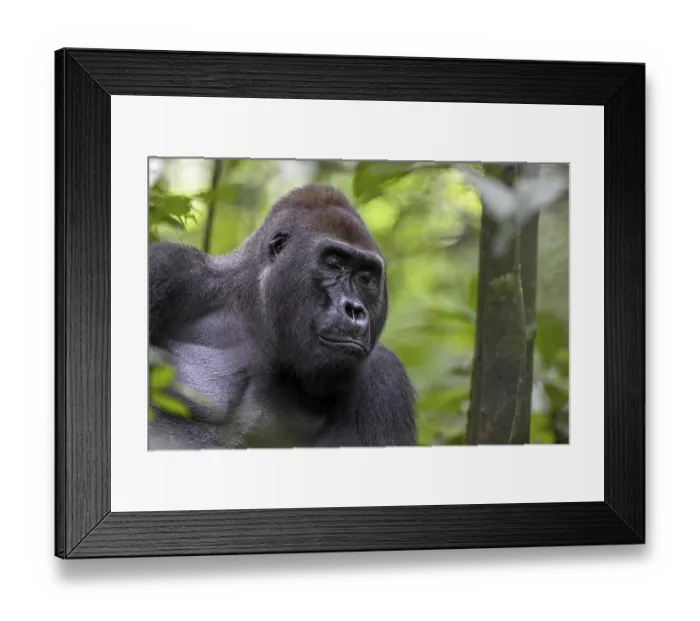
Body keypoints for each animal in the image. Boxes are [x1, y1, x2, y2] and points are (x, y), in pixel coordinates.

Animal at [148, 184, 417, 449]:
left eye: (364, 278)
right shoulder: (168, 268)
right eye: (334, 264)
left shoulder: (385, 378)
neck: (257, 315)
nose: (354, 309)